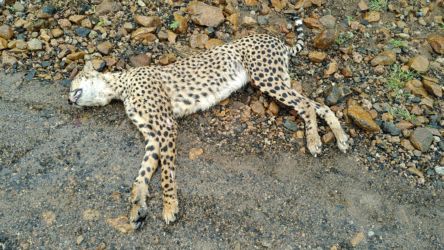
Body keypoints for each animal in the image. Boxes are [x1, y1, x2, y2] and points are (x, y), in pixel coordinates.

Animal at [68, 13, 346, 229]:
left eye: (75, 81)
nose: (69, 99)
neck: (120, 87)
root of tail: (274, 38)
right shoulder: (153, 134)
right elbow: (143, 173)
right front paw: (137, 206)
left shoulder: (166, 126)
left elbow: (166, 173)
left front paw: (169, 206)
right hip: (277, 78)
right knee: (320, 105)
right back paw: (341, 138)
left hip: (266, 78)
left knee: (306, 105)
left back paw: (314, 141)